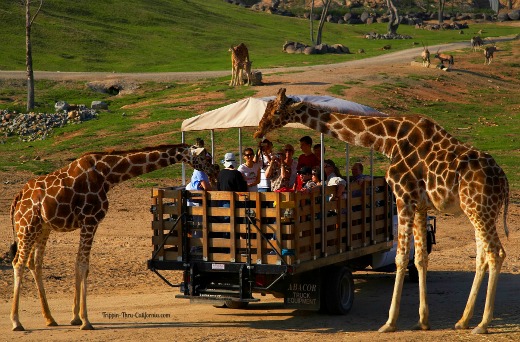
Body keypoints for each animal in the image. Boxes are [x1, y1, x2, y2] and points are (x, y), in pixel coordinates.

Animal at [9, 144, 219, 332]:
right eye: (205, 157)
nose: (216, 170)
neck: (108, 176)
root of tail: (17, 199)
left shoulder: (88, 223)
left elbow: (80, 265)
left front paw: (75, 317)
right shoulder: (90, 220)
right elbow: (83, 265)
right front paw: (86, 321)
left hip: (42, 228)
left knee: (34, 263)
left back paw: (50, 319)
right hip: (27, 226)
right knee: (18, 263)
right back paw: (16, 322)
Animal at [254, 87, 510, 334]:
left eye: (277, 111)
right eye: (266, 108)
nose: (258, 132)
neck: (388, 141)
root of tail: (505, 182)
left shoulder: (403, 196)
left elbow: (401, 257)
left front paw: (390, 322)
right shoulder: (420, 205)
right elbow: (420, 258)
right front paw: (422, 321)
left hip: (480, 208)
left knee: (496, 253)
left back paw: (482, 324)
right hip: (477, 211)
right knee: (482, 256)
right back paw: (463, 320)